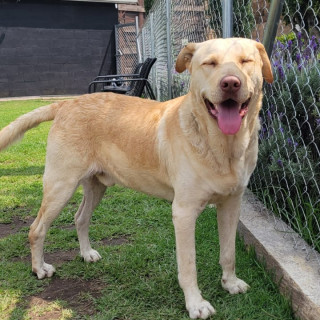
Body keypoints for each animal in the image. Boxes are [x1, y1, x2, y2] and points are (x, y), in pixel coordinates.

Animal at [0, 37, 272, 318]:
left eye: (246, 61)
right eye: (210, 63)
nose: (230, 83)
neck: (223, 146)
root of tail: (67, 103)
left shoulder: (231, 204)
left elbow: (229, 252)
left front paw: (230, 283)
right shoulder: (183, 213)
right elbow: (188, 265)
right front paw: (195, 304)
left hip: (96, 186)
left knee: (79, 218)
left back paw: (86, 253)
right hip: (60, 186)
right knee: (36, 229)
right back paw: (39, 268)